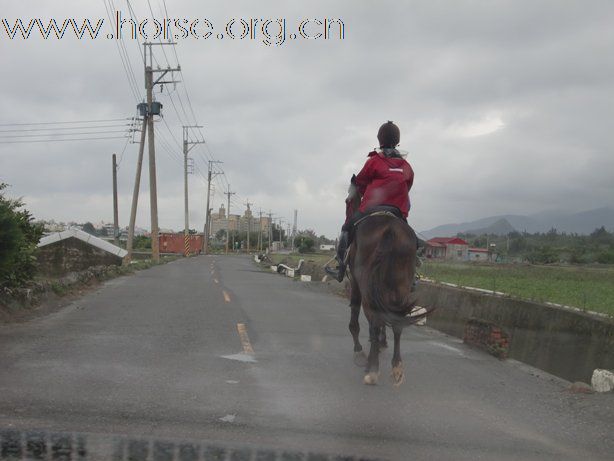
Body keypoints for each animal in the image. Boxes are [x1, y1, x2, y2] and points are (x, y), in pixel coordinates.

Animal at [348, 214, 430, 386]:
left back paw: (372, 368)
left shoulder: (355, 283)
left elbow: (357, 319)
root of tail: (390, 229)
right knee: (396, 324)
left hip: (368, 289)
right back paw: (396, 366)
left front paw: (360, 351)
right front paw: (380, 344)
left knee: (374, 323)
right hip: (401, 287)